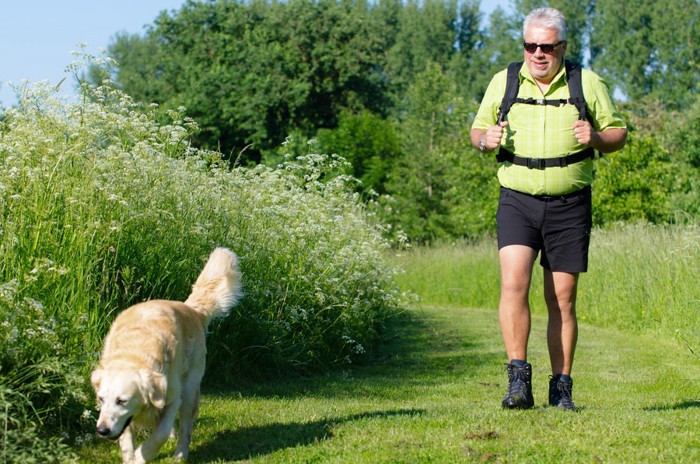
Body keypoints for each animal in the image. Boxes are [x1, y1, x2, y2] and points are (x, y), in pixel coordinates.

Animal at [91, 248, 242, 462]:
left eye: (122, 400)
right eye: (101, 399)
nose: (102, 430)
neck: (135, 354)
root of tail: (190, 308)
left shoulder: (172, 397)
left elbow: (158, 435)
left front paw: (141, 457)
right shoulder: (125, 420)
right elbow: (127, 440)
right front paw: (130, 457)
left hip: (190, 387)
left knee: (185, 425)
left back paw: (180, 454)